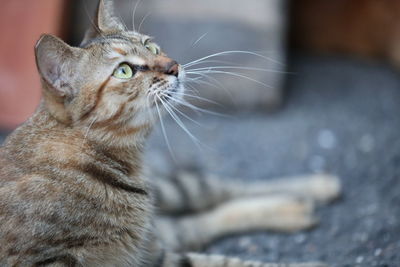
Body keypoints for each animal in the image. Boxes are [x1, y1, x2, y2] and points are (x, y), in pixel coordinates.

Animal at [0, 1, 340, 266]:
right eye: (124, 70)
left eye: (151, 46)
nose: (174, 65)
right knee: (194, 222)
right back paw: (297, 207)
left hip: (167, 198)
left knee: (214, 192)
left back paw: (311, 191)